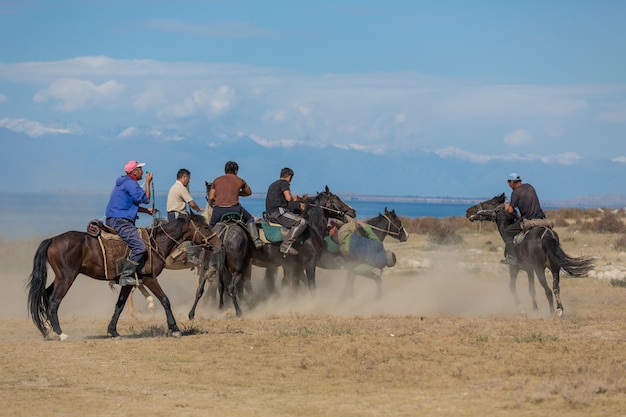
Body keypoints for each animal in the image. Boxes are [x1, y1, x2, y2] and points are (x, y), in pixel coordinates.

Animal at [27, 213, 222, 340]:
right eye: (205, 227)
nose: (219, 244)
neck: (154, 244)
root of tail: (53, 239)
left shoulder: (128, 282)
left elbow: (119, 306)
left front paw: (113, 331)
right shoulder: (150, 278)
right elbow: (165, 300)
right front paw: (174, 328)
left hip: (60, 277)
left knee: (45, 294)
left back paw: (47, 329)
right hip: (67, 277)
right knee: (54, 301)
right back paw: (60, 333)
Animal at [464, 193, 596, 314]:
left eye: (489, 202)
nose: (468, 211)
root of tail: (547, 235)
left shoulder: (514, 268)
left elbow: (512, 287)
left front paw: (522, 308)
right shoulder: (529, 270)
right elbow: (531, 289)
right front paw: (535, 309)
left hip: (539, 269)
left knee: (548, 290)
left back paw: (551, 312)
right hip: (554, 268)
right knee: (556, 288)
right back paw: (559, 311)